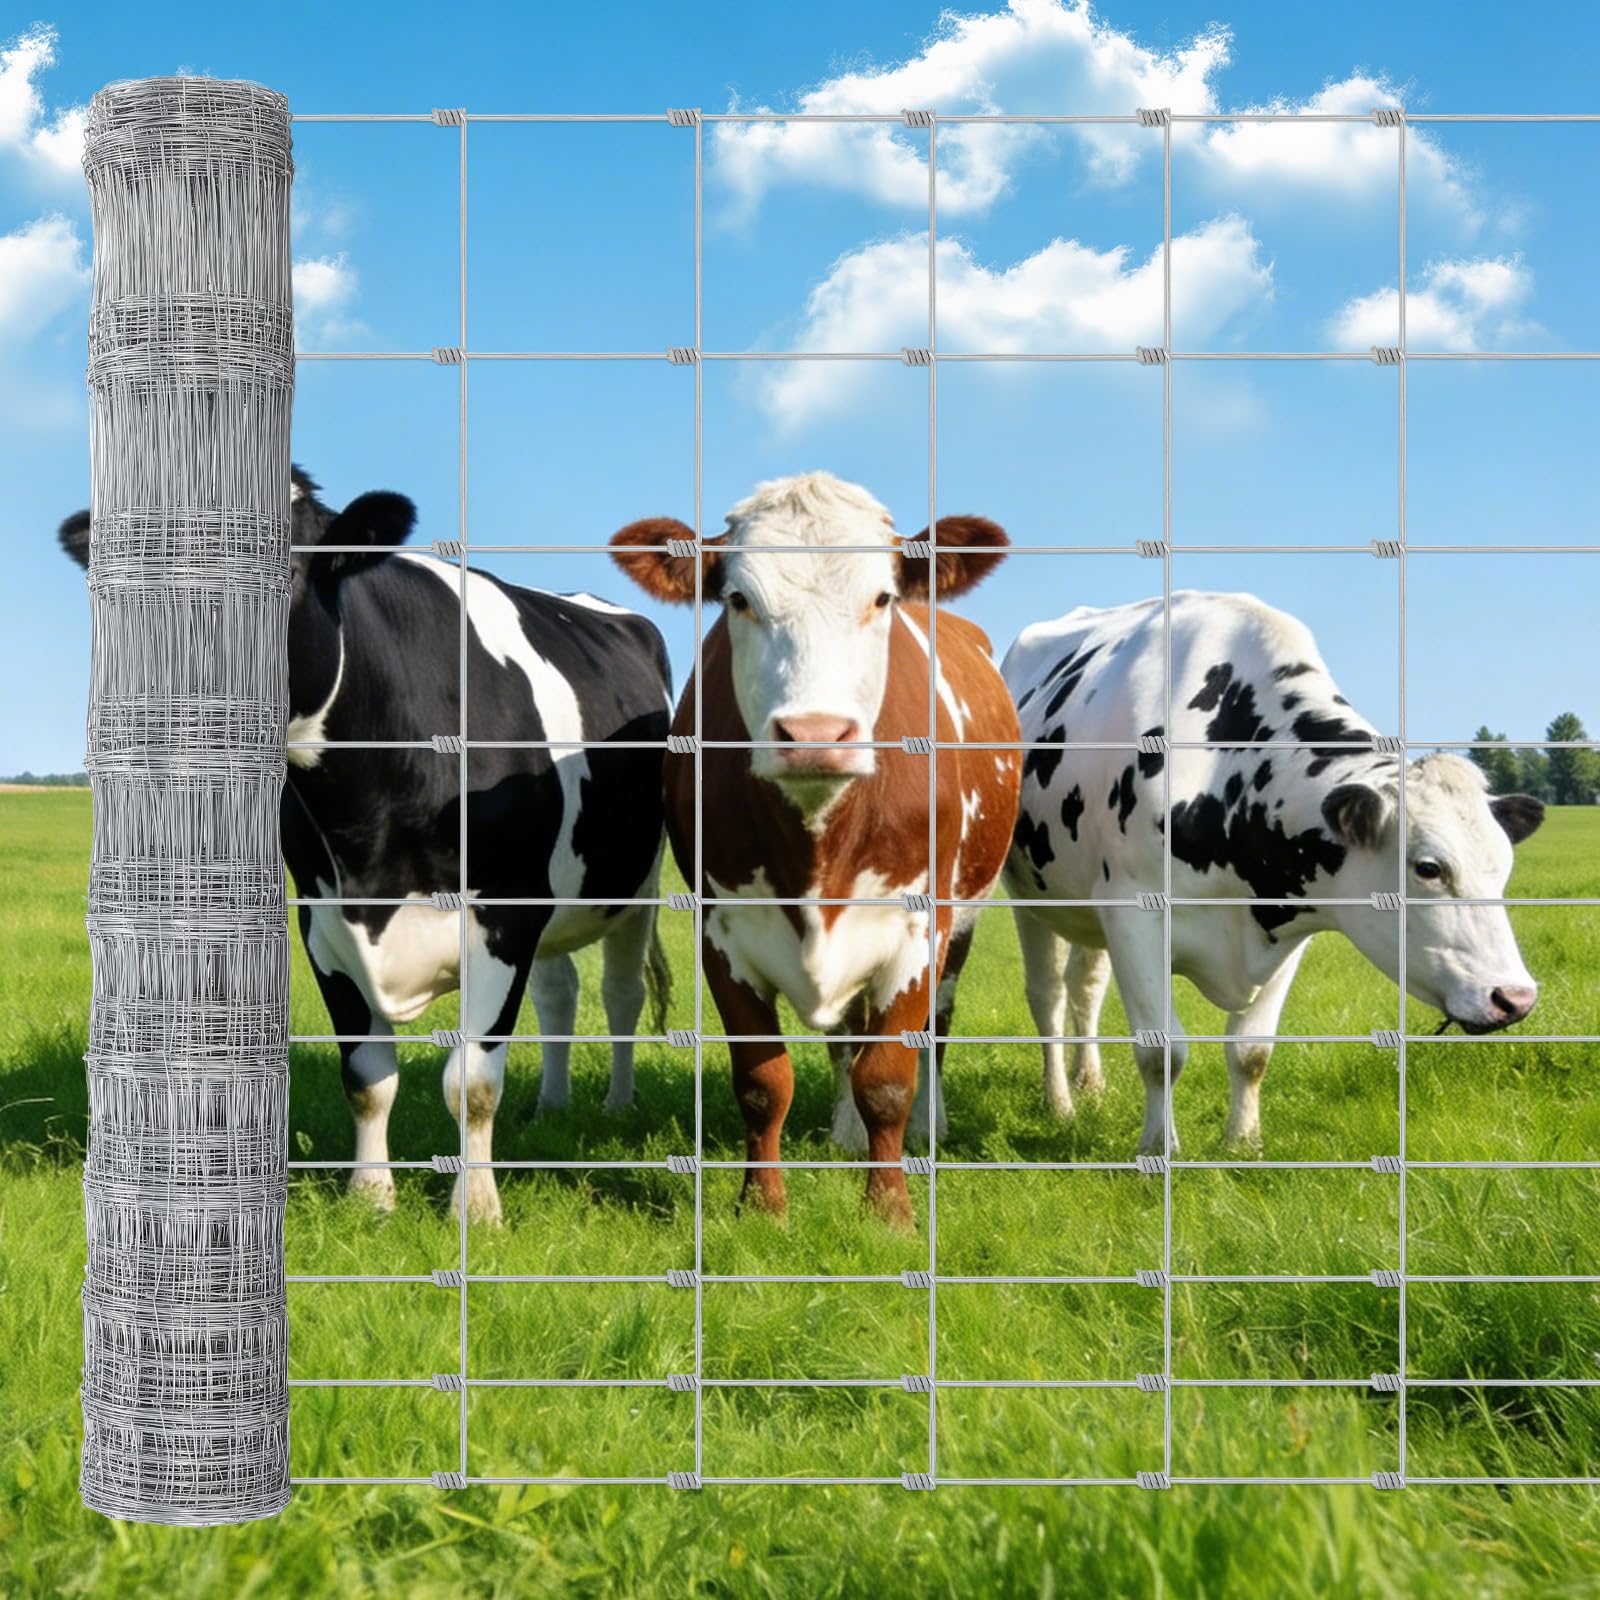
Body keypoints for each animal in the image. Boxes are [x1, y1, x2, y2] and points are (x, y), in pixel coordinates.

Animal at [59, 467, 674, 1223]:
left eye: (284, 573)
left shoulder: (503, 912)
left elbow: (471, 1082)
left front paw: (476, 1210)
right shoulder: (322, 920)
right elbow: (367, 1075)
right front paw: (371, 1197)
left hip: (637, 883)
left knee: (620, 994)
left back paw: (616, 1103)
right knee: (560, 992)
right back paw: (550, 1107)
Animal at [609, 471, 1021, 1225]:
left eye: (882, 598)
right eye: (738, 600)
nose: (815, 734)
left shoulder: (918, 929)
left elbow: (888, 1078)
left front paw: (890, 1212)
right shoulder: (722, 933)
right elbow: (763, 1080)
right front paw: (762, 1205)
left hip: (965, 916)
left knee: (936, 1030)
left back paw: (929, 1127)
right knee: (844, 1038)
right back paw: (845, 1132)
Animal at [998, 590, 1545, 1155]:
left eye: (1503, 868)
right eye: (1429, 868)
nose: (1516, 998)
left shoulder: (1287, 922)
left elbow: (1251, 1051)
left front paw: (1243, 1143)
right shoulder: (1134, 916)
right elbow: (1162, 1052)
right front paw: (1158, 1148)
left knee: (1085, 985)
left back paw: (1090, 1083)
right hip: (1030, 898)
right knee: (1048, 995)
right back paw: (1060, 1102)